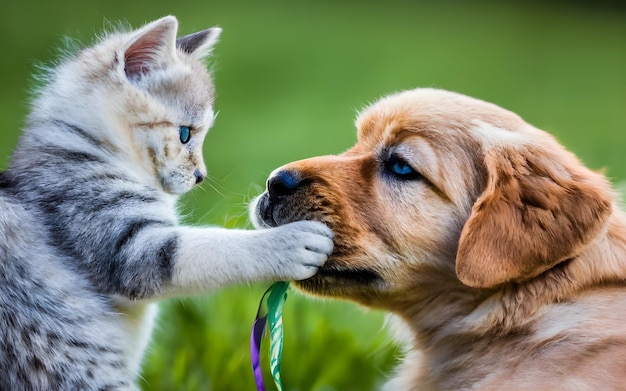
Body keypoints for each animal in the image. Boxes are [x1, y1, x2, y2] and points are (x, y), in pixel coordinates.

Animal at [0, 16, 332, 391]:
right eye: (185, 134)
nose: (201, 176)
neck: (87, 146)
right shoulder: (114, 233)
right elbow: (210, 247)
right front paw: (289, 242)